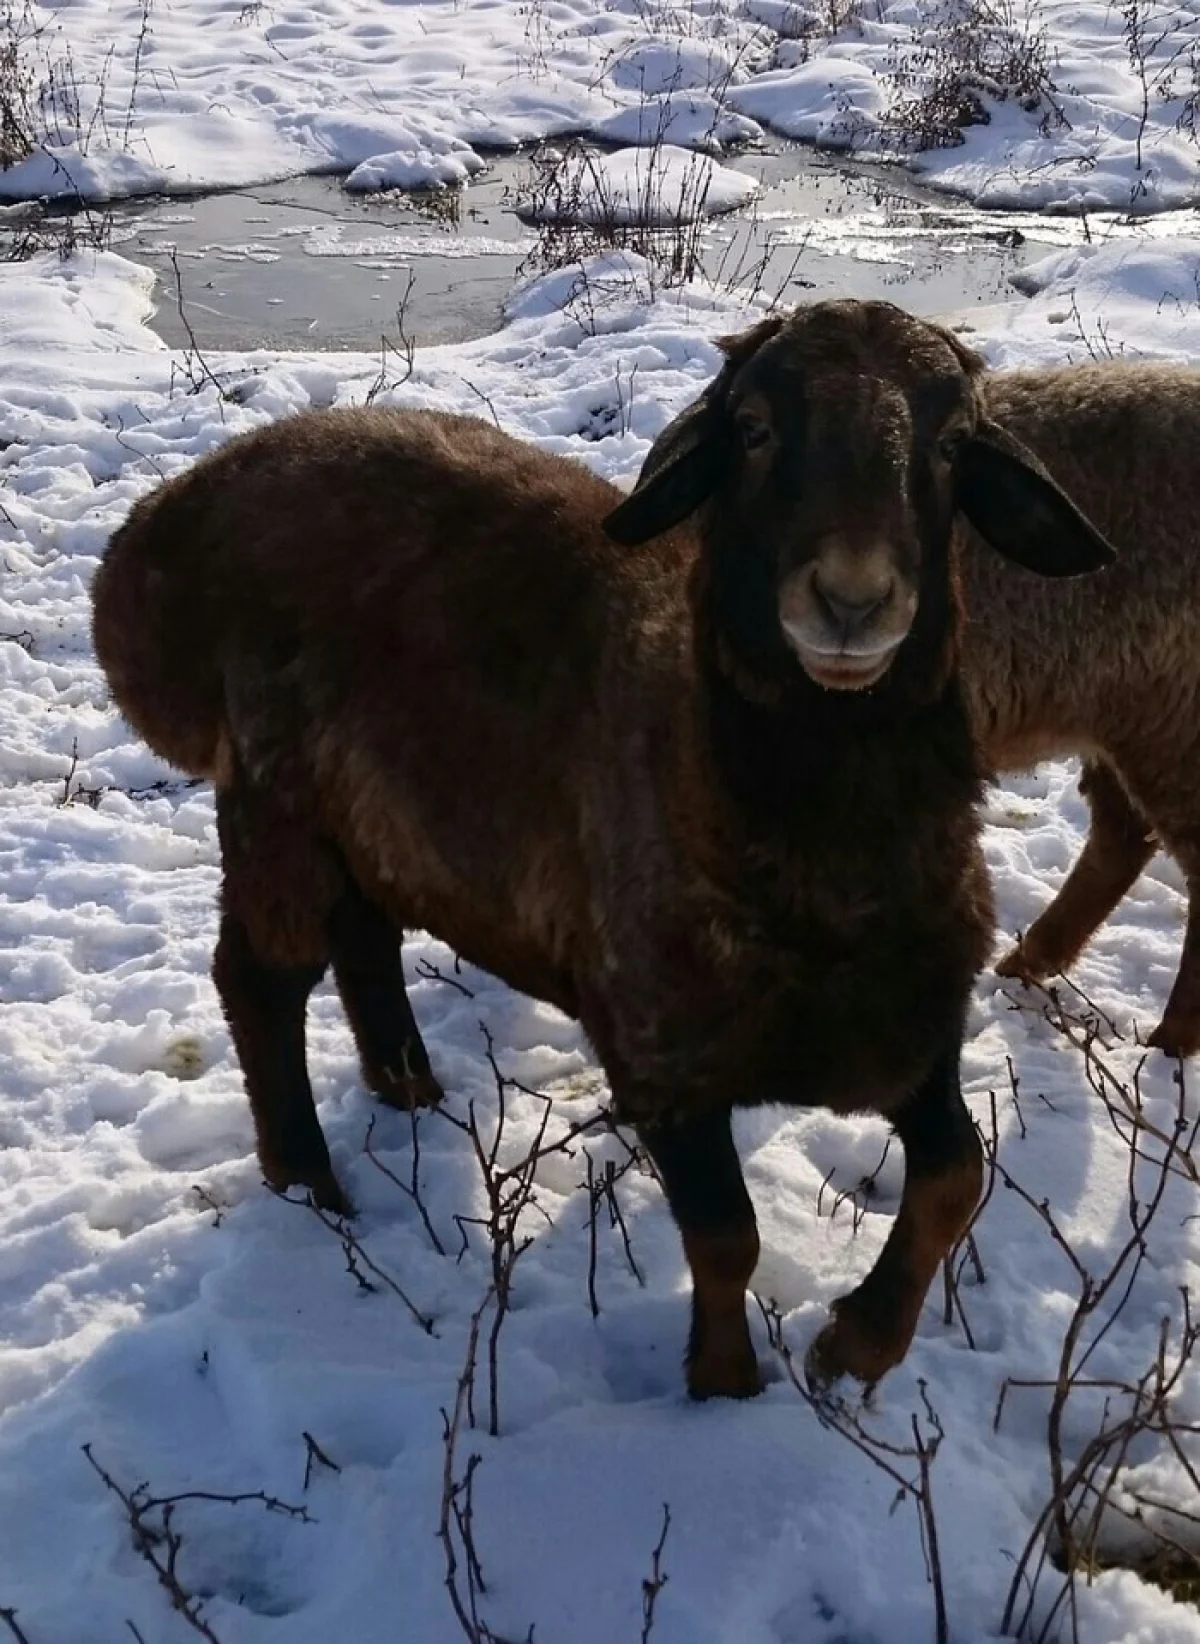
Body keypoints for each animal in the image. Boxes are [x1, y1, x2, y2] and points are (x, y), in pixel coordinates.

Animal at [93, 299, 1111, 1400]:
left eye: (956, 444)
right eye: (752, 429)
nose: (851, 601)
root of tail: (161, 521)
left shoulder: (912, 1028)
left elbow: (957, 1178)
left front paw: (858, 1343)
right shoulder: (659, 1053)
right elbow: (727, 1237)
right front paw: (723, 1389)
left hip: (374, 816)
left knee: (365, 937)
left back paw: (408, 1087)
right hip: (273, 799)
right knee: (260, 980)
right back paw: (310, 1186)